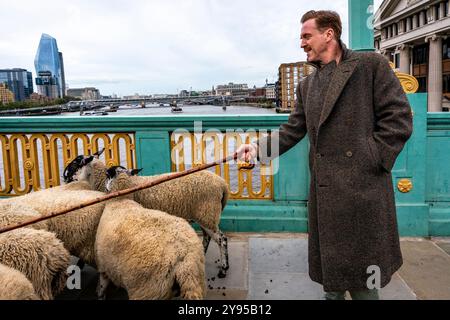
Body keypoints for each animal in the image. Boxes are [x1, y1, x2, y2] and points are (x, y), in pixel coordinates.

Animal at [73, 156, 232, 278]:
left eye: (76, 164)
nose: (68, 177)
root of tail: (222, 184)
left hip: (207, 213)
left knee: (221, 239)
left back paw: (224, 269)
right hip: (205, 215)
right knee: (208, 236)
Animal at [96, 169, 206, 302]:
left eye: (107, 175)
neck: (120, 201)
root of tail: (185, 261)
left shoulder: (103, 266)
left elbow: (102, 289)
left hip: (148, 290)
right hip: (196, 279)